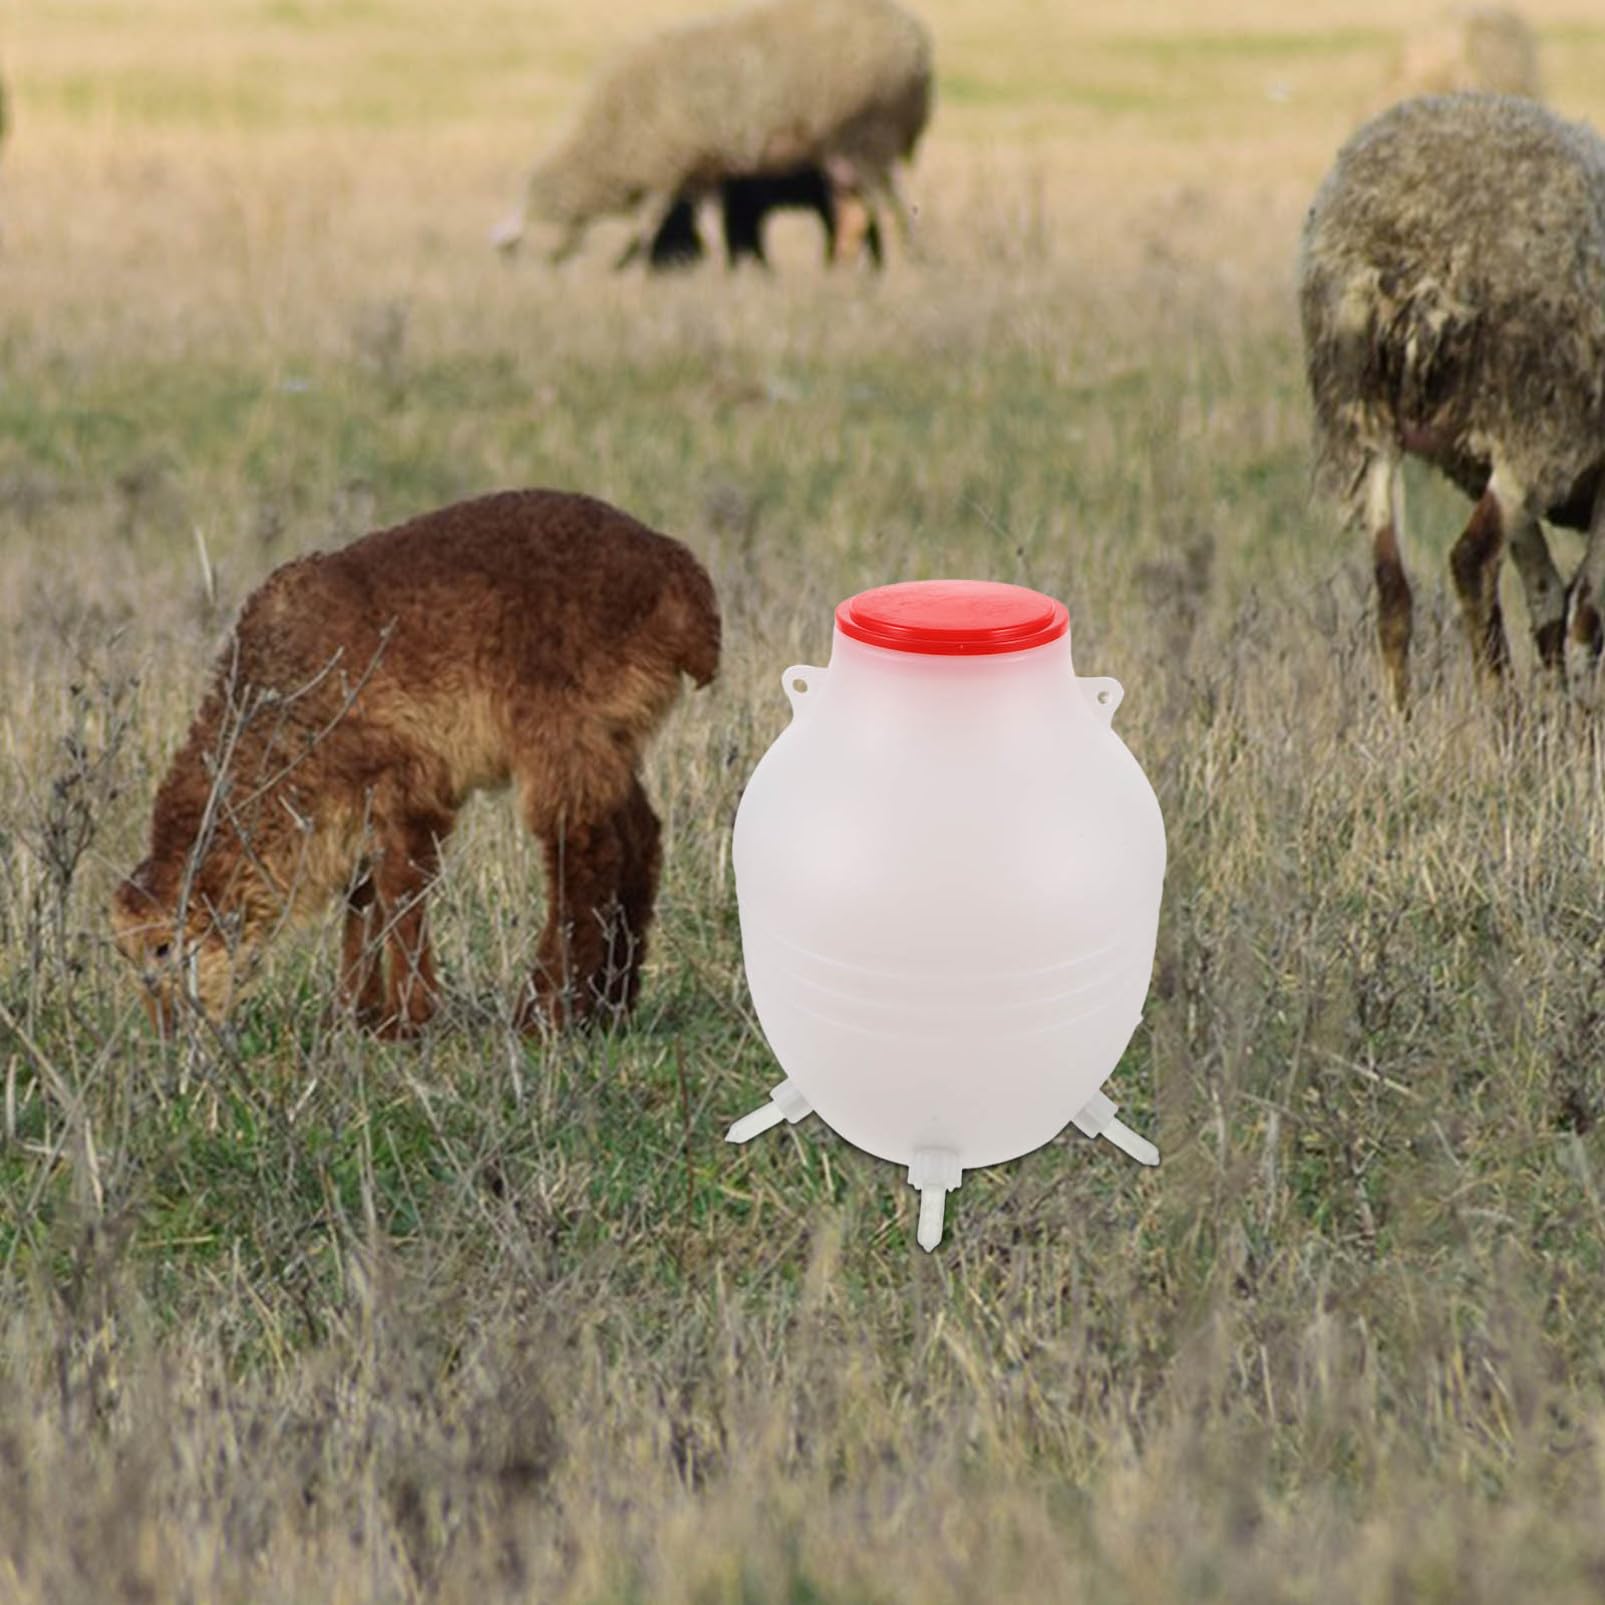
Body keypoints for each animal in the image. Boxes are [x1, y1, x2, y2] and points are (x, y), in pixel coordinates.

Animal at [110, 490, 721, 1037]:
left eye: (163, 948)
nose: (168, 1034)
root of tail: (680, 578)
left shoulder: (409, 784)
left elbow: (401, 890)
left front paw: (407, 1018)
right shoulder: (352, 807)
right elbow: (364, 899)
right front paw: (352, 1016)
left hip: (560, 732)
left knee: (586, 854)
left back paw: (545, 1013)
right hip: (610, 737)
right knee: (640, 838)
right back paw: (612, 1002)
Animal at [491, 0, 931, 268]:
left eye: (527, 240)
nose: (538, 279)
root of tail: (914, 36)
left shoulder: (664, 172)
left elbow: (646, 227)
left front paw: (629, 264)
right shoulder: (701, 171)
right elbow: (709, 226)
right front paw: (723, 269)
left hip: (870, 137)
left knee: (887, 208)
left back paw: (904, 263)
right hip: (844, 153)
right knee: (855, 214)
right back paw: (845, 270)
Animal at [1297, 93, 1605, 708]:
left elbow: (1547, 600)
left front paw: (1559, 713)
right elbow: (1585, 610)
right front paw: (1577, 718)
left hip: (1367, 422)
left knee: (1392, 589)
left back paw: (1400, 722)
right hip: (1536, 424)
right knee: (1471, 561)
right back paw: (1500, 712)